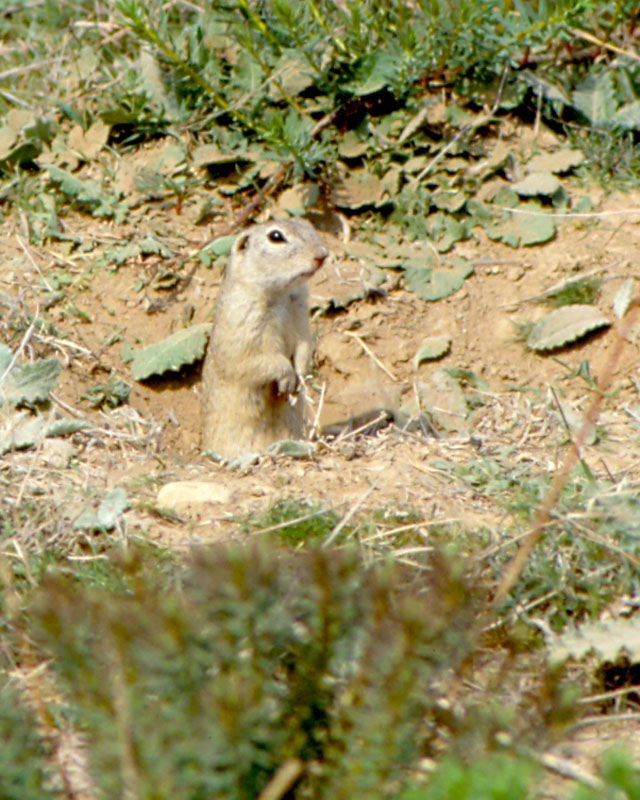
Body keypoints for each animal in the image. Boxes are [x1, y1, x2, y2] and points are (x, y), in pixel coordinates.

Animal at [201, 217, 330, 456]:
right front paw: (287, 378)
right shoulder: (244, 327)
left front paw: (300, 375)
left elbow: (304, 344)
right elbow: (254, 360)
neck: (280, 295)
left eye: (307, 224)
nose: (322, 254)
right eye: (275, 236)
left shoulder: (300, 315)